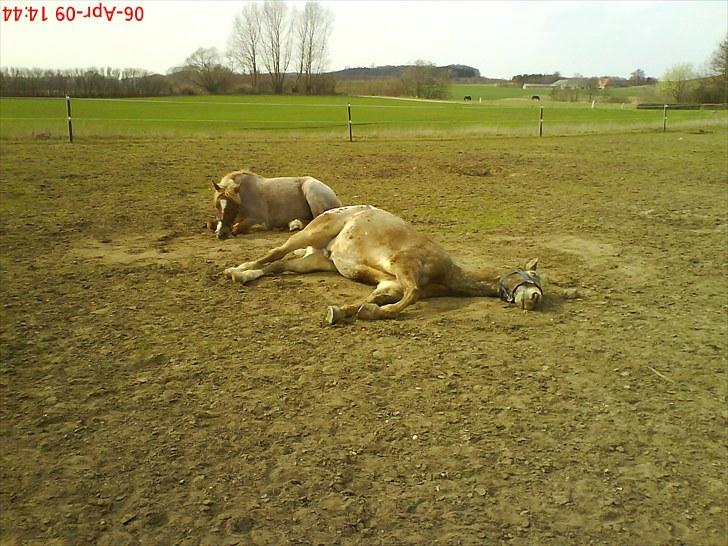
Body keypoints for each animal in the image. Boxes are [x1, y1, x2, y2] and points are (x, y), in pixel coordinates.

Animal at [210, 170, 342, 239]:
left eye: (233, 206)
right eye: (217, 206)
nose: (221, 234)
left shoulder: (258, 218)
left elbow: (238, 228)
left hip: (311, 190)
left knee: (316, 219)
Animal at [223, 205, 544, 323]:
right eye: (530, 275)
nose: (535, 298)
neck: (447, 273)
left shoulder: (390, 284)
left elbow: (372, 299)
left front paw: (344, 312)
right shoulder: (404, 265)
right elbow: (412, 294)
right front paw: (377, 312)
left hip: (318, 261)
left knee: (278, 266)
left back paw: (245, 275)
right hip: (311, 233)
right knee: (276, 252)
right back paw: (237, 270)